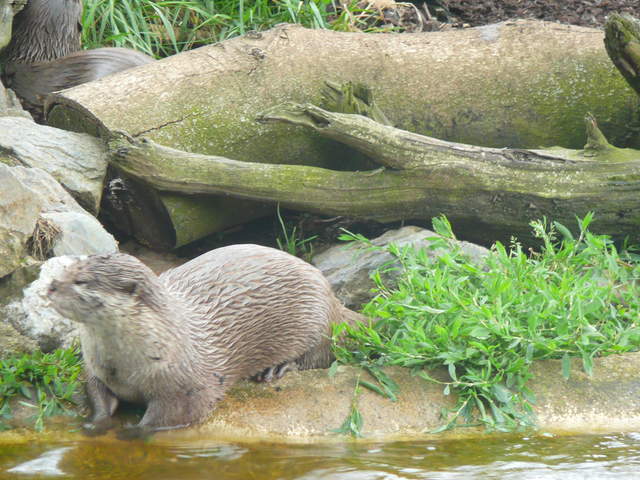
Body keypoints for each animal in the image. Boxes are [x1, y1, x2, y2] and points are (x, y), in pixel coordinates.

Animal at [47, 245, 365, 437]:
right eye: (69, 268)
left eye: (81, 281)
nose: (51, 285)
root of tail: (333, 298)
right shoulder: (96, 369)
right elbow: (97, 394)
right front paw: (94, 424)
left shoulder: (187, 388)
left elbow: (167, 417)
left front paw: (132, 431)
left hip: (317, 320)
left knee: (318, 355)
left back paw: (277, 368)